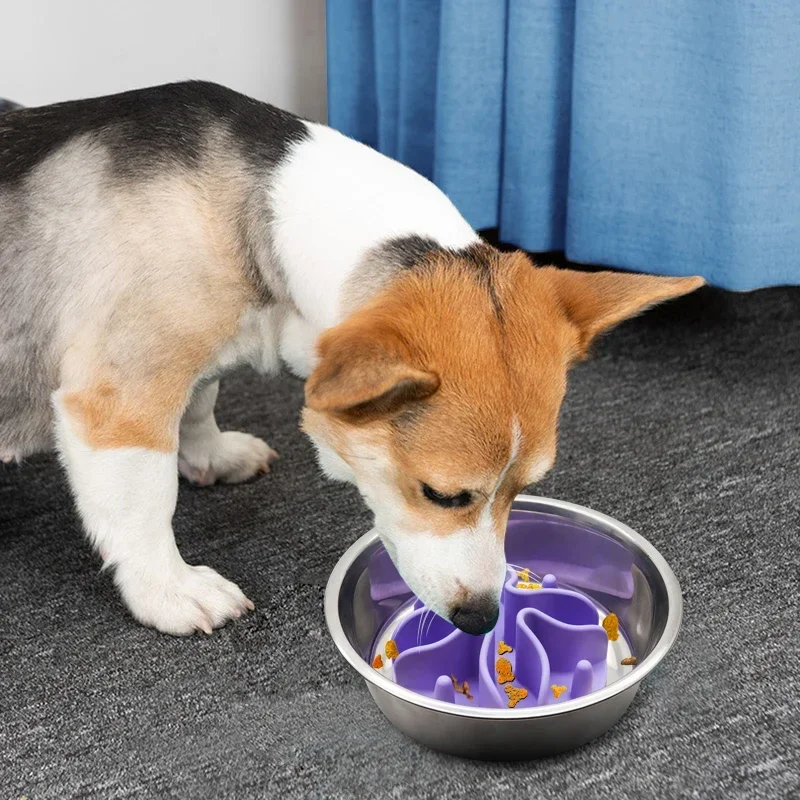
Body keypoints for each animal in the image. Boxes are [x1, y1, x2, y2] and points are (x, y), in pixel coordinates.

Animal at [0, 83, 700, 636]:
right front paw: (169, 590)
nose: (481, 620)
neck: (270, 209)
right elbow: (145, 505)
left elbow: (201, 400)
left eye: (523, 491)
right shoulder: (120, 400)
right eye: (442, 495)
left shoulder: (197, 354)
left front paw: (210, 455)